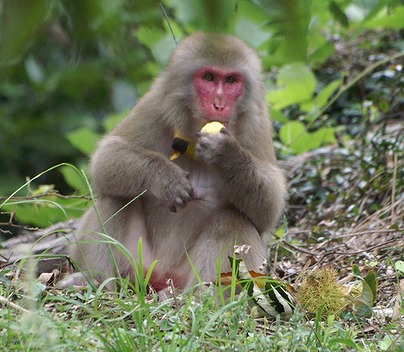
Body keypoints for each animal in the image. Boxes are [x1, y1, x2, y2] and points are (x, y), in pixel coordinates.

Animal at [64, 31, 288, 292]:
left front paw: (228, 154)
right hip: (138, 265)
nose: (219, 105)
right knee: (115, 197)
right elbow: (107, 156)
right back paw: (96, 281)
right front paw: (164, 178)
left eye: (231, 80)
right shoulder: (156, 103)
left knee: (233, 218)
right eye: (209, 77)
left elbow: (269, 207)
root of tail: (163, 277)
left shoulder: (257, 122)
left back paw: (205, 295)